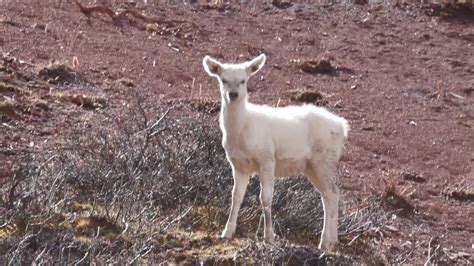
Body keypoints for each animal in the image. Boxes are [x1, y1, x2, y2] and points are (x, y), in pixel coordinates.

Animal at [202, 54, 350, 251]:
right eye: (223, 80)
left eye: (243, 80)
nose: (233, 95)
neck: (242, 131)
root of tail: (343, 127)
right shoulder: (239, 165)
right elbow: (236, 197)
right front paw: (227, 232)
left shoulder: (267, 158)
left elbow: (265, 198)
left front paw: (269, 237)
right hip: (312, 166)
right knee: (327, 195)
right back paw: (327, 242)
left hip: (325, 160)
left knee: (333, 193)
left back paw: (329, 242)